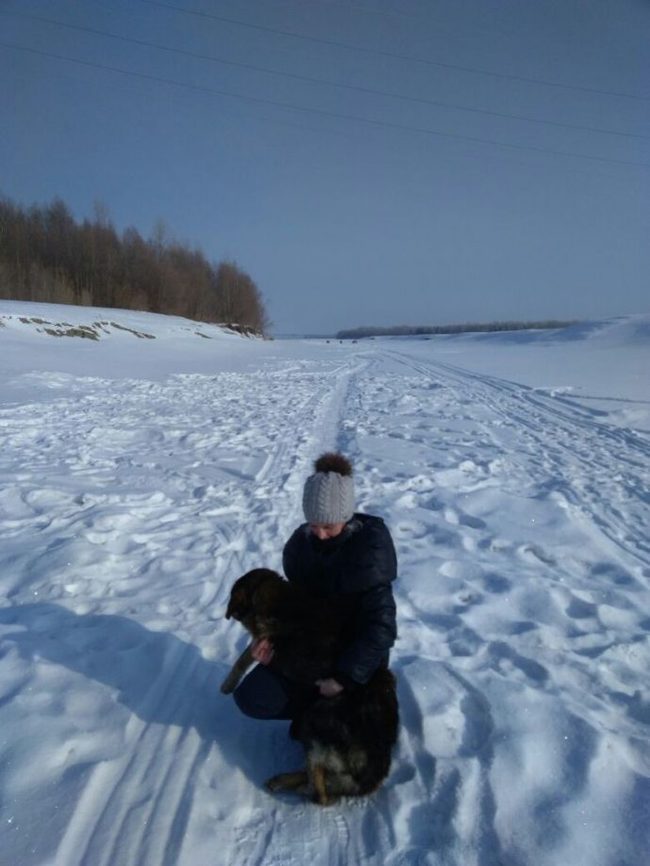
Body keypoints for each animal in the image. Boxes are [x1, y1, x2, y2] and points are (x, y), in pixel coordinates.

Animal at [220, 568, 398, 804]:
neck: (278, 598)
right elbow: (247, 654)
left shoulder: (273, 646)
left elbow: (245, 655)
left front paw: (228, 684)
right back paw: (281, 780)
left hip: (316, 720)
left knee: (320, 794)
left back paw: (299, 788)